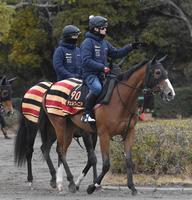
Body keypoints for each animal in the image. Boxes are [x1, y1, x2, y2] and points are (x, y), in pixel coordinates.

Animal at [41, 55, 176, 194]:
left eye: (165, 72)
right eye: (157, 72)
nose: (170, 93)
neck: (119, 99)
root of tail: (51, 87)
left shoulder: (129, 133)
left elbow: (128, 160)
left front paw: (132, 186)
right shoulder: (103, 134)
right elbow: (105, 164)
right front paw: (92, 187)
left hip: (69, 128)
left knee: (61, 150)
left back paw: (67, 182)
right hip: (59, 125)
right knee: (60, 151)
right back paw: (69, 182)